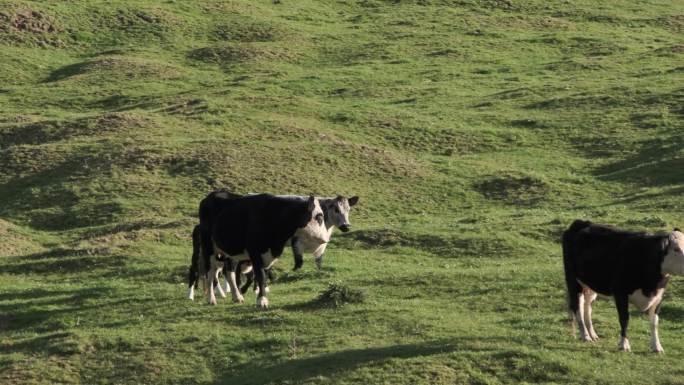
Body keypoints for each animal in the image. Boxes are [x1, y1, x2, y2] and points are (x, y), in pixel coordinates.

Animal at [560, 219, 684, 352]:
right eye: (676, 249)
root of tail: (580, 223)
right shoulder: (620, 293)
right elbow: (624, 319)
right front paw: (624, 344)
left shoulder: (658, 296)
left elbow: (654, 322)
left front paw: (657, 346)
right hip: (574, 282)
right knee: (578, 306)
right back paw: (585, 335)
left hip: (589, 285)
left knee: (587, 306)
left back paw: (593, 334)